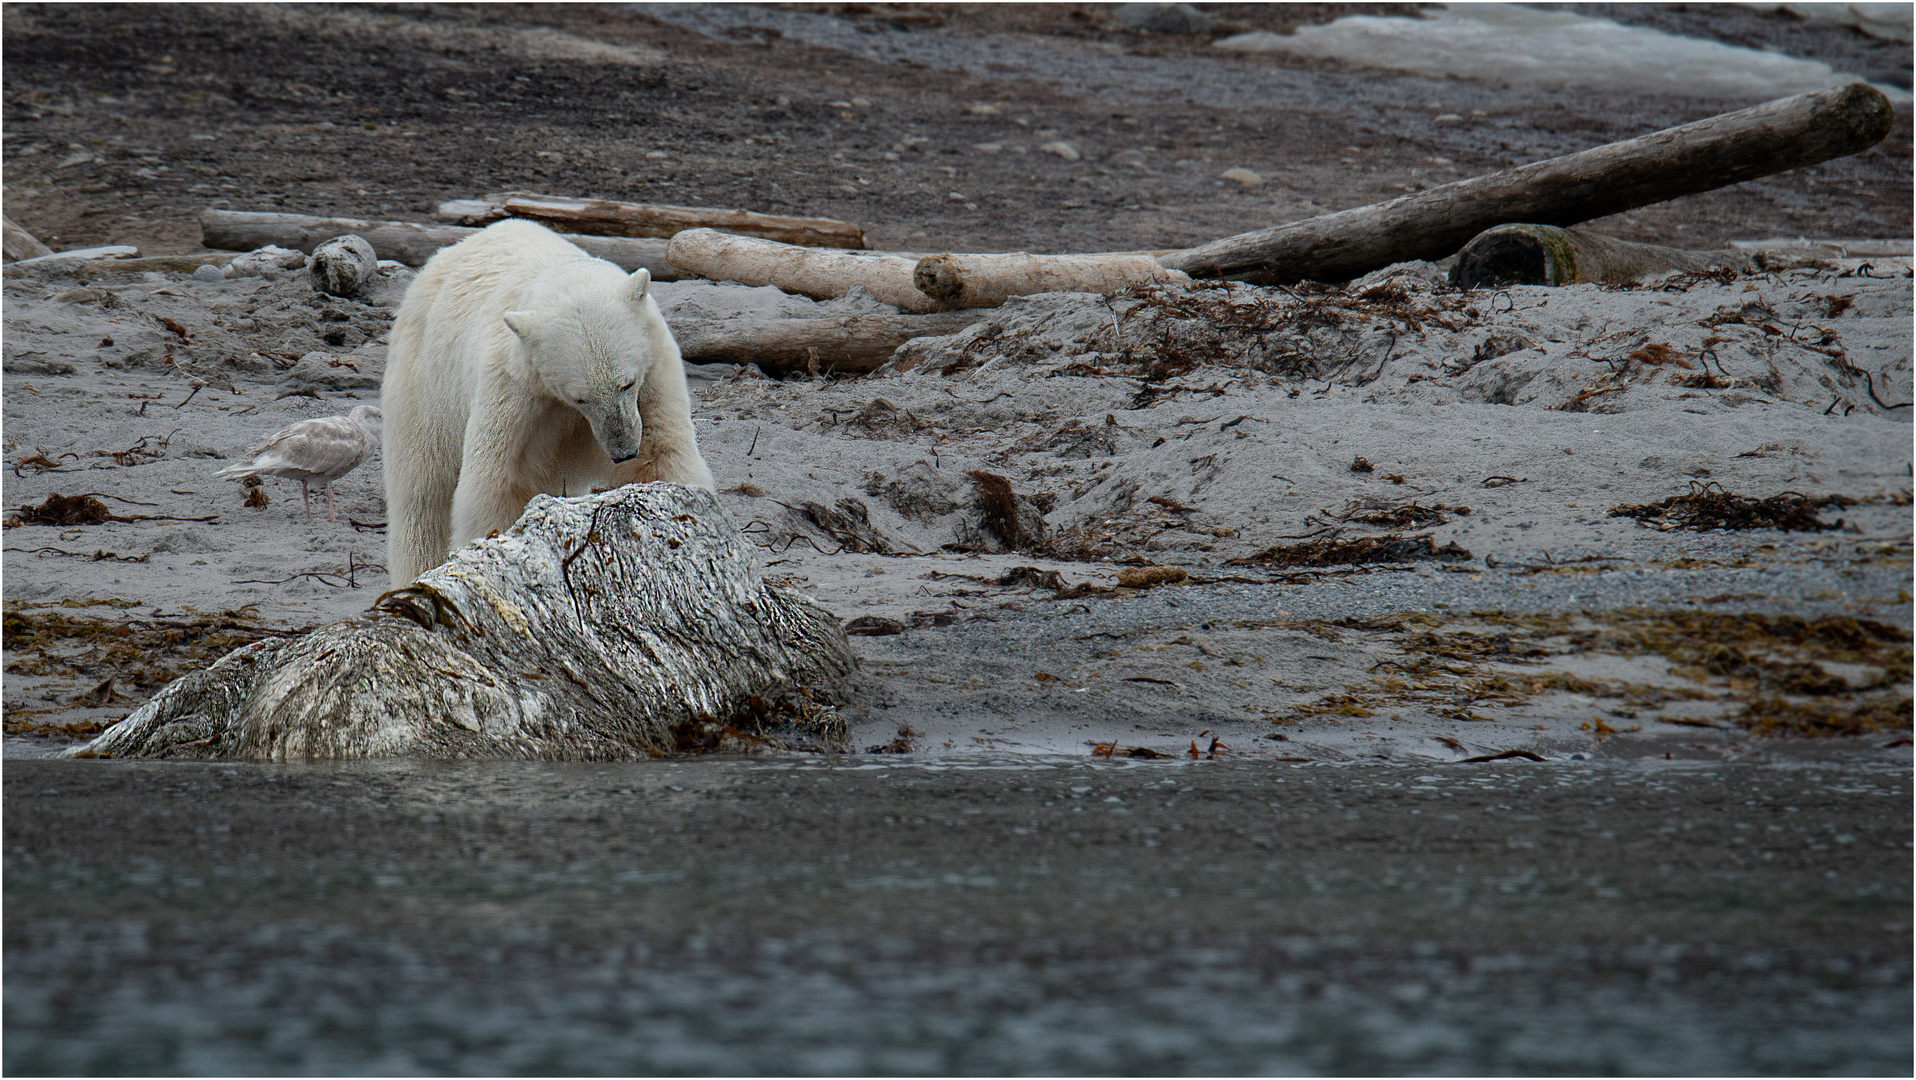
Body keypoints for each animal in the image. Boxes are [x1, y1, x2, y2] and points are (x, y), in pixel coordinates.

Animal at [381, 218, 712, 582]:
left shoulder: (655, 368)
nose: (623, 451)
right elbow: (497, 483)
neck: (556, 271)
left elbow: (662, 452)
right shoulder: (515, 386)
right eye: (579, 398)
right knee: (422, 490)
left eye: (627, 383)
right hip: (424, 378)